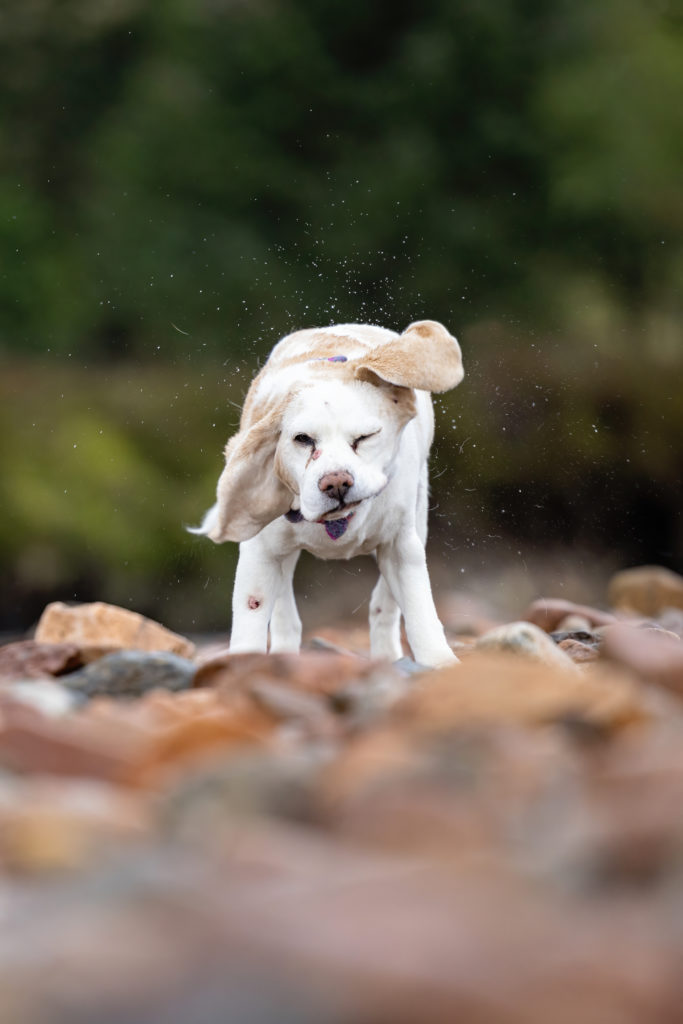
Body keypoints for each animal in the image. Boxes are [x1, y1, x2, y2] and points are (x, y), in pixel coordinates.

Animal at [194, 321, 466, 671]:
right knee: (285, 614)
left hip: (418, 523)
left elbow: (419, 609)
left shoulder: (400, 546)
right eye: (302, 439)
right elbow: (252, 614)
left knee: (384, 606)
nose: (336, 482)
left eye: (365, 437)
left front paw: (440, 663)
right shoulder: (261, 552)